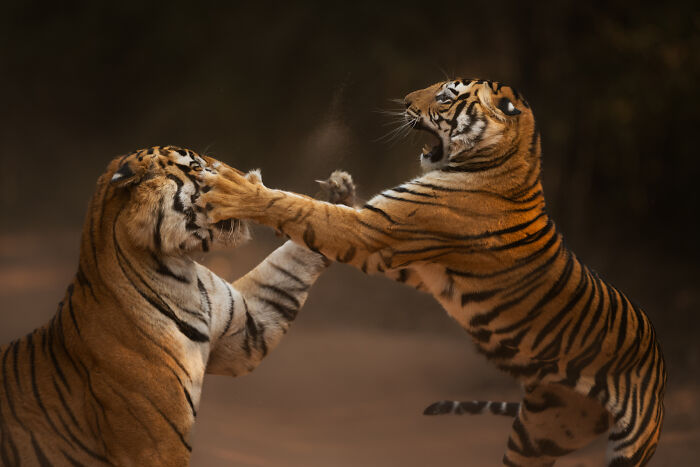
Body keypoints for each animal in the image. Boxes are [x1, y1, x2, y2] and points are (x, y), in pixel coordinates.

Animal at [0, 146, 354, 466]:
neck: (180, 271)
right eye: (196, 167)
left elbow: (289, 265)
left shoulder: (247, 330)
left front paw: (338, 194)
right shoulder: (154, 445)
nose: (246, 182)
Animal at [199, 79, 666, 466]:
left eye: (445, 95)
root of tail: (660, 361)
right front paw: (338, 187)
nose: (404, 100)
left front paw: (236, 188)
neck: (510, 161)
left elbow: (299, 208)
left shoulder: (376, 232)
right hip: (540, 433)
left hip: (629, 443)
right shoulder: (404, 258)